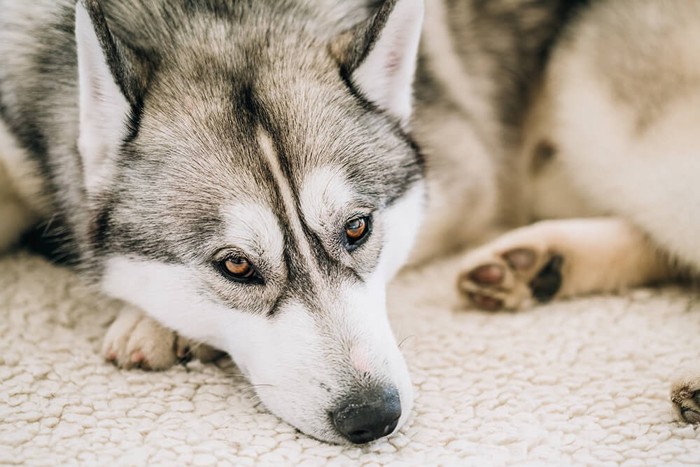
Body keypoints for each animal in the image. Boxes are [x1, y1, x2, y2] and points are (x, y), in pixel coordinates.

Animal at [1, 0, 700, 446]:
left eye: (358, 228)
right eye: (236, 264)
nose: (374, 417)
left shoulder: (468, 168)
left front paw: (159, 323)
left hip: (613, 123)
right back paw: (538, 264)